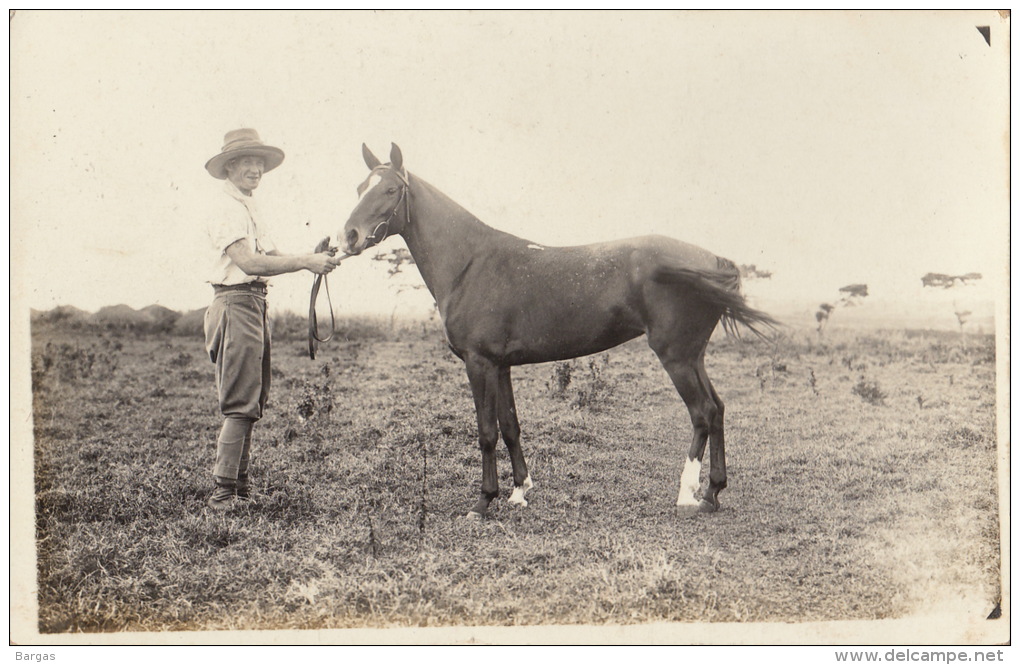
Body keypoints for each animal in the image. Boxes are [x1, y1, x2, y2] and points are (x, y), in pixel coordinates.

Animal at [338, 143, 775, 520]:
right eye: (360, 188)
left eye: (390, 189)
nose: (348, 237)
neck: (470, 263)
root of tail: (712, 260)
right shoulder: (500, 365)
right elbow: (510, 426)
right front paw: (519, 491)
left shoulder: (479, 364)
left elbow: (486, 431)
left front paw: (483, 502)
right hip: (693, 356)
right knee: (717, 409)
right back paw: (713, 492)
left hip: (676, 357)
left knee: (702, 413)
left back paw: (688, 495)